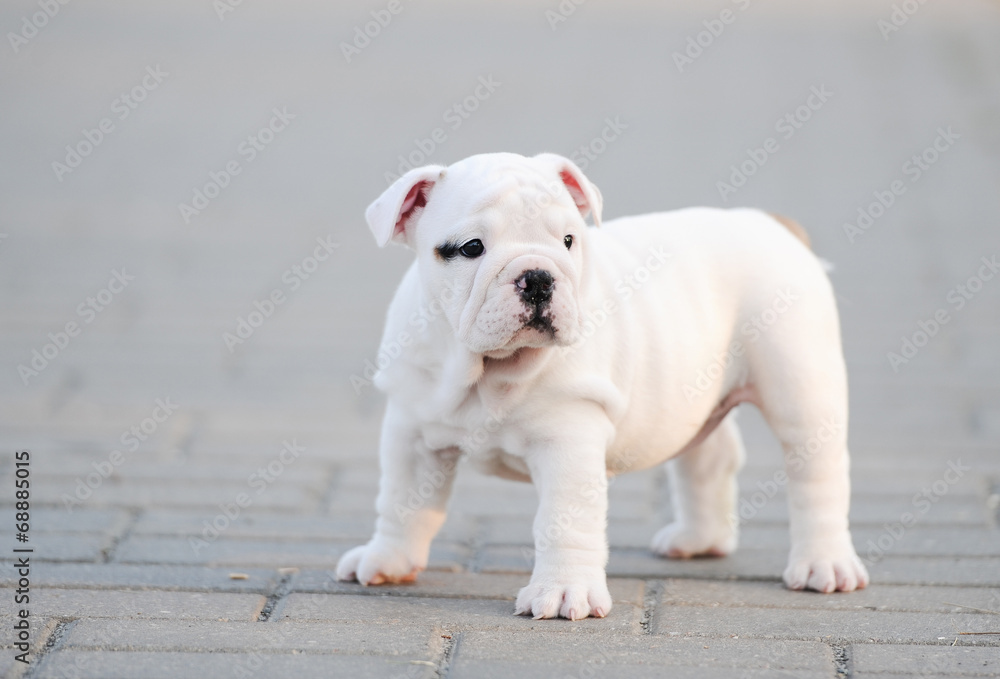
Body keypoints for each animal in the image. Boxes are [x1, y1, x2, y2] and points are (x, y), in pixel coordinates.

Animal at [336, 151, 868, 620]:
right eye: (471, 248)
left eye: (569, 240)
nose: (538, 276)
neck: (487, 369)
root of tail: (771, 224)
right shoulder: (410, 431)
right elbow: (402, 501)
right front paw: (387, 560)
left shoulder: (567, 440)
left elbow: (563, 520)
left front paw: (562, 591)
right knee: (709, 457)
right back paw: (699, 541)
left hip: (799, 384)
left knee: (816, 472)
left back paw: (825, 563)